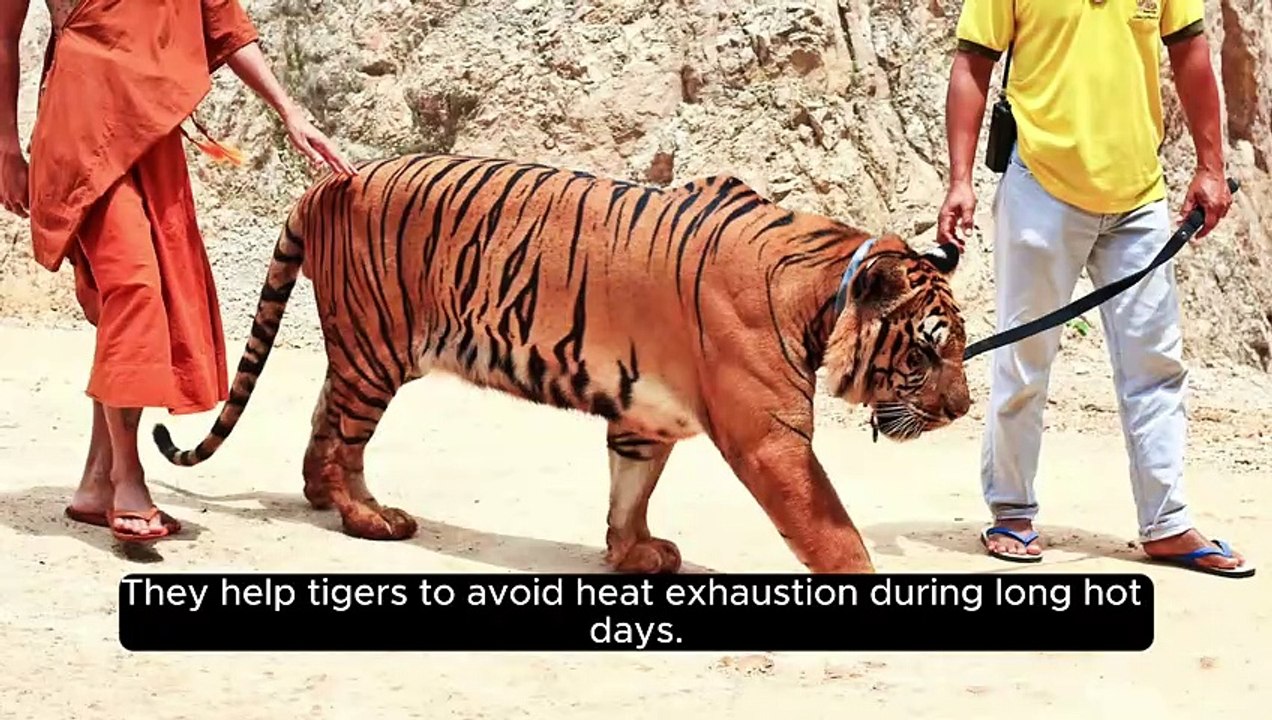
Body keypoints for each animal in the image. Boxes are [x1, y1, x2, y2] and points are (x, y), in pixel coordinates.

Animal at [152, 153, 970, 574]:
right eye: (928, 346)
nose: (962, 409)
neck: (824, 292)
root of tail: (335, 177)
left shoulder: (647, 417)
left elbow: (631, 489)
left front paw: (634, 551)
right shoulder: (771, 436)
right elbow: (833, 529)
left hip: (364, 346)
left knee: (326, 411)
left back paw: (321, 496)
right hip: (379, 350)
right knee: (349, 437)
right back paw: (367, 515)